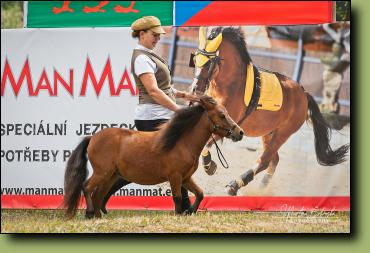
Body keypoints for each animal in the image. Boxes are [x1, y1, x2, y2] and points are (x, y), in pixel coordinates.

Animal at [62, 95, 244, 217]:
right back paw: (89, 212)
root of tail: (92, 138)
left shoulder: (185, 178)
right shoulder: (175, 176)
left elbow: (200, 194)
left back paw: (98, 216)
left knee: (97, 195)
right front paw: (179, 214)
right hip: (102, 173)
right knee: (86, 187)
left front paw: (190, 211)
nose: (240, 133)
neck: (181, 143)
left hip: (111, 176)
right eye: (222, 115)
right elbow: (177, 197)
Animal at [189, 26, 348, 196]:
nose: (195, 89)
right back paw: (261, 188)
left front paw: (209, 166)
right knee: (274, 159)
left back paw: (235, 185)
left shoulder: (231, 128)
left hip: (283, 133)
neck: (229, 85)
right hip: (268, 132)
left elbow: (206, 145)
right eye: (195, 59)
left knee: (264, 160)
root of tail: (304, 94)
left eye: (209, 63)